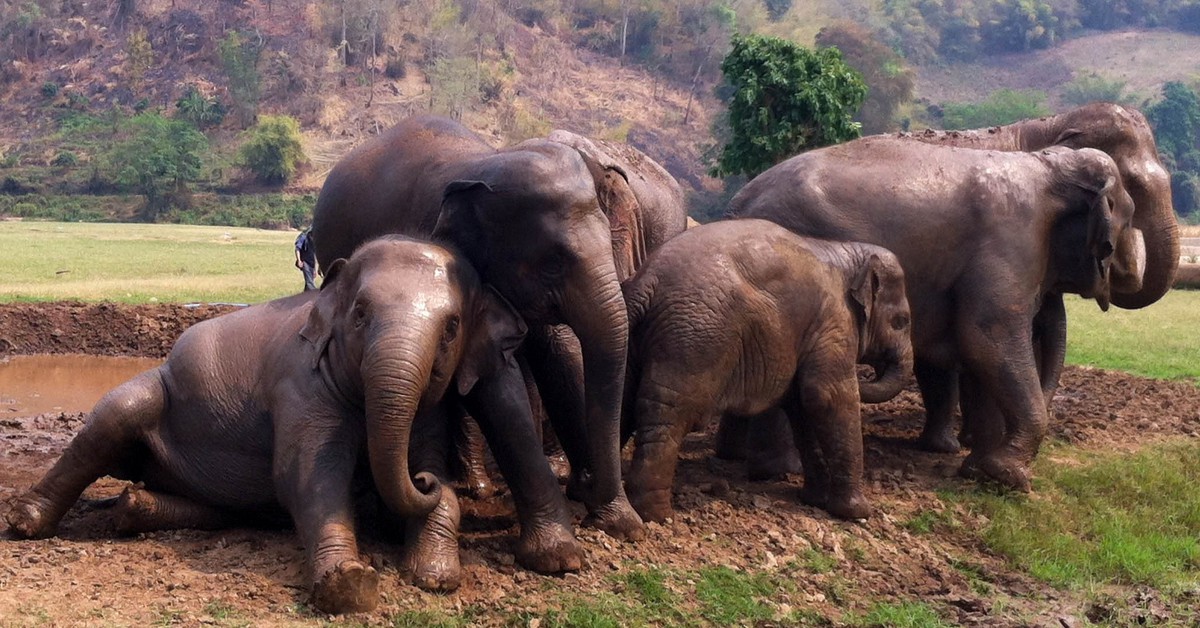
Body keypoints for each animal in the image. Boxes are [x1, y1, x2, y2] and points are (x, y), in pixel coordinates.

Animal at [4, 236, 580, 614]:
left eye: (452, 327)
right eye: (361, 314)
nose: (423, 484)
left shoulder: (431, 407)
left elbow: (422, 463)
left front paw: (434, 574)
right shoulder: (300, 386)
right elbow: (306, 475)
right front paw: (350, 585)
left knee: (217, 507)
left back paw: (132, 507)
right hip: (154, 389)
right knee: (116, 414)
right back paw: (26, 523)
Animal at [310, 115, 687, 539]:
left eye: (611, 242)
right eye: (553, 262)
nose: (585, 485)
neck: (483, 165)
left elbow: (558, 355)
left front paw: (619, 520)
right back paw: (475, 486)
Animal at [620, 219, 913, 522]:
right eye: (901, 321)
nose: (869, 373)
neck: (846, 253)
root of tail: (646, 283)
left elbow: (801, 406)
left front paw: (815, 500)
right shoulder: (833, 320)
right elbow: (826, 397)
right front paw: (857, 512)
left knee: (624, 405)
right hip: (693, 342)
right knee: (671, 416)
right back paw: (656, 514)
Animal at [729, 137, 1141, 491]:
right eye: (1129, 220)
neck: (1049, 167)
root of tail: (738, 202)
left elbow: (982, 354)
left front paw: (976, 471)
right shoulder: (1011, 242)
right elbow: (987, 337)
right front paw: (1008, 478)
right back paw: (781, 470)